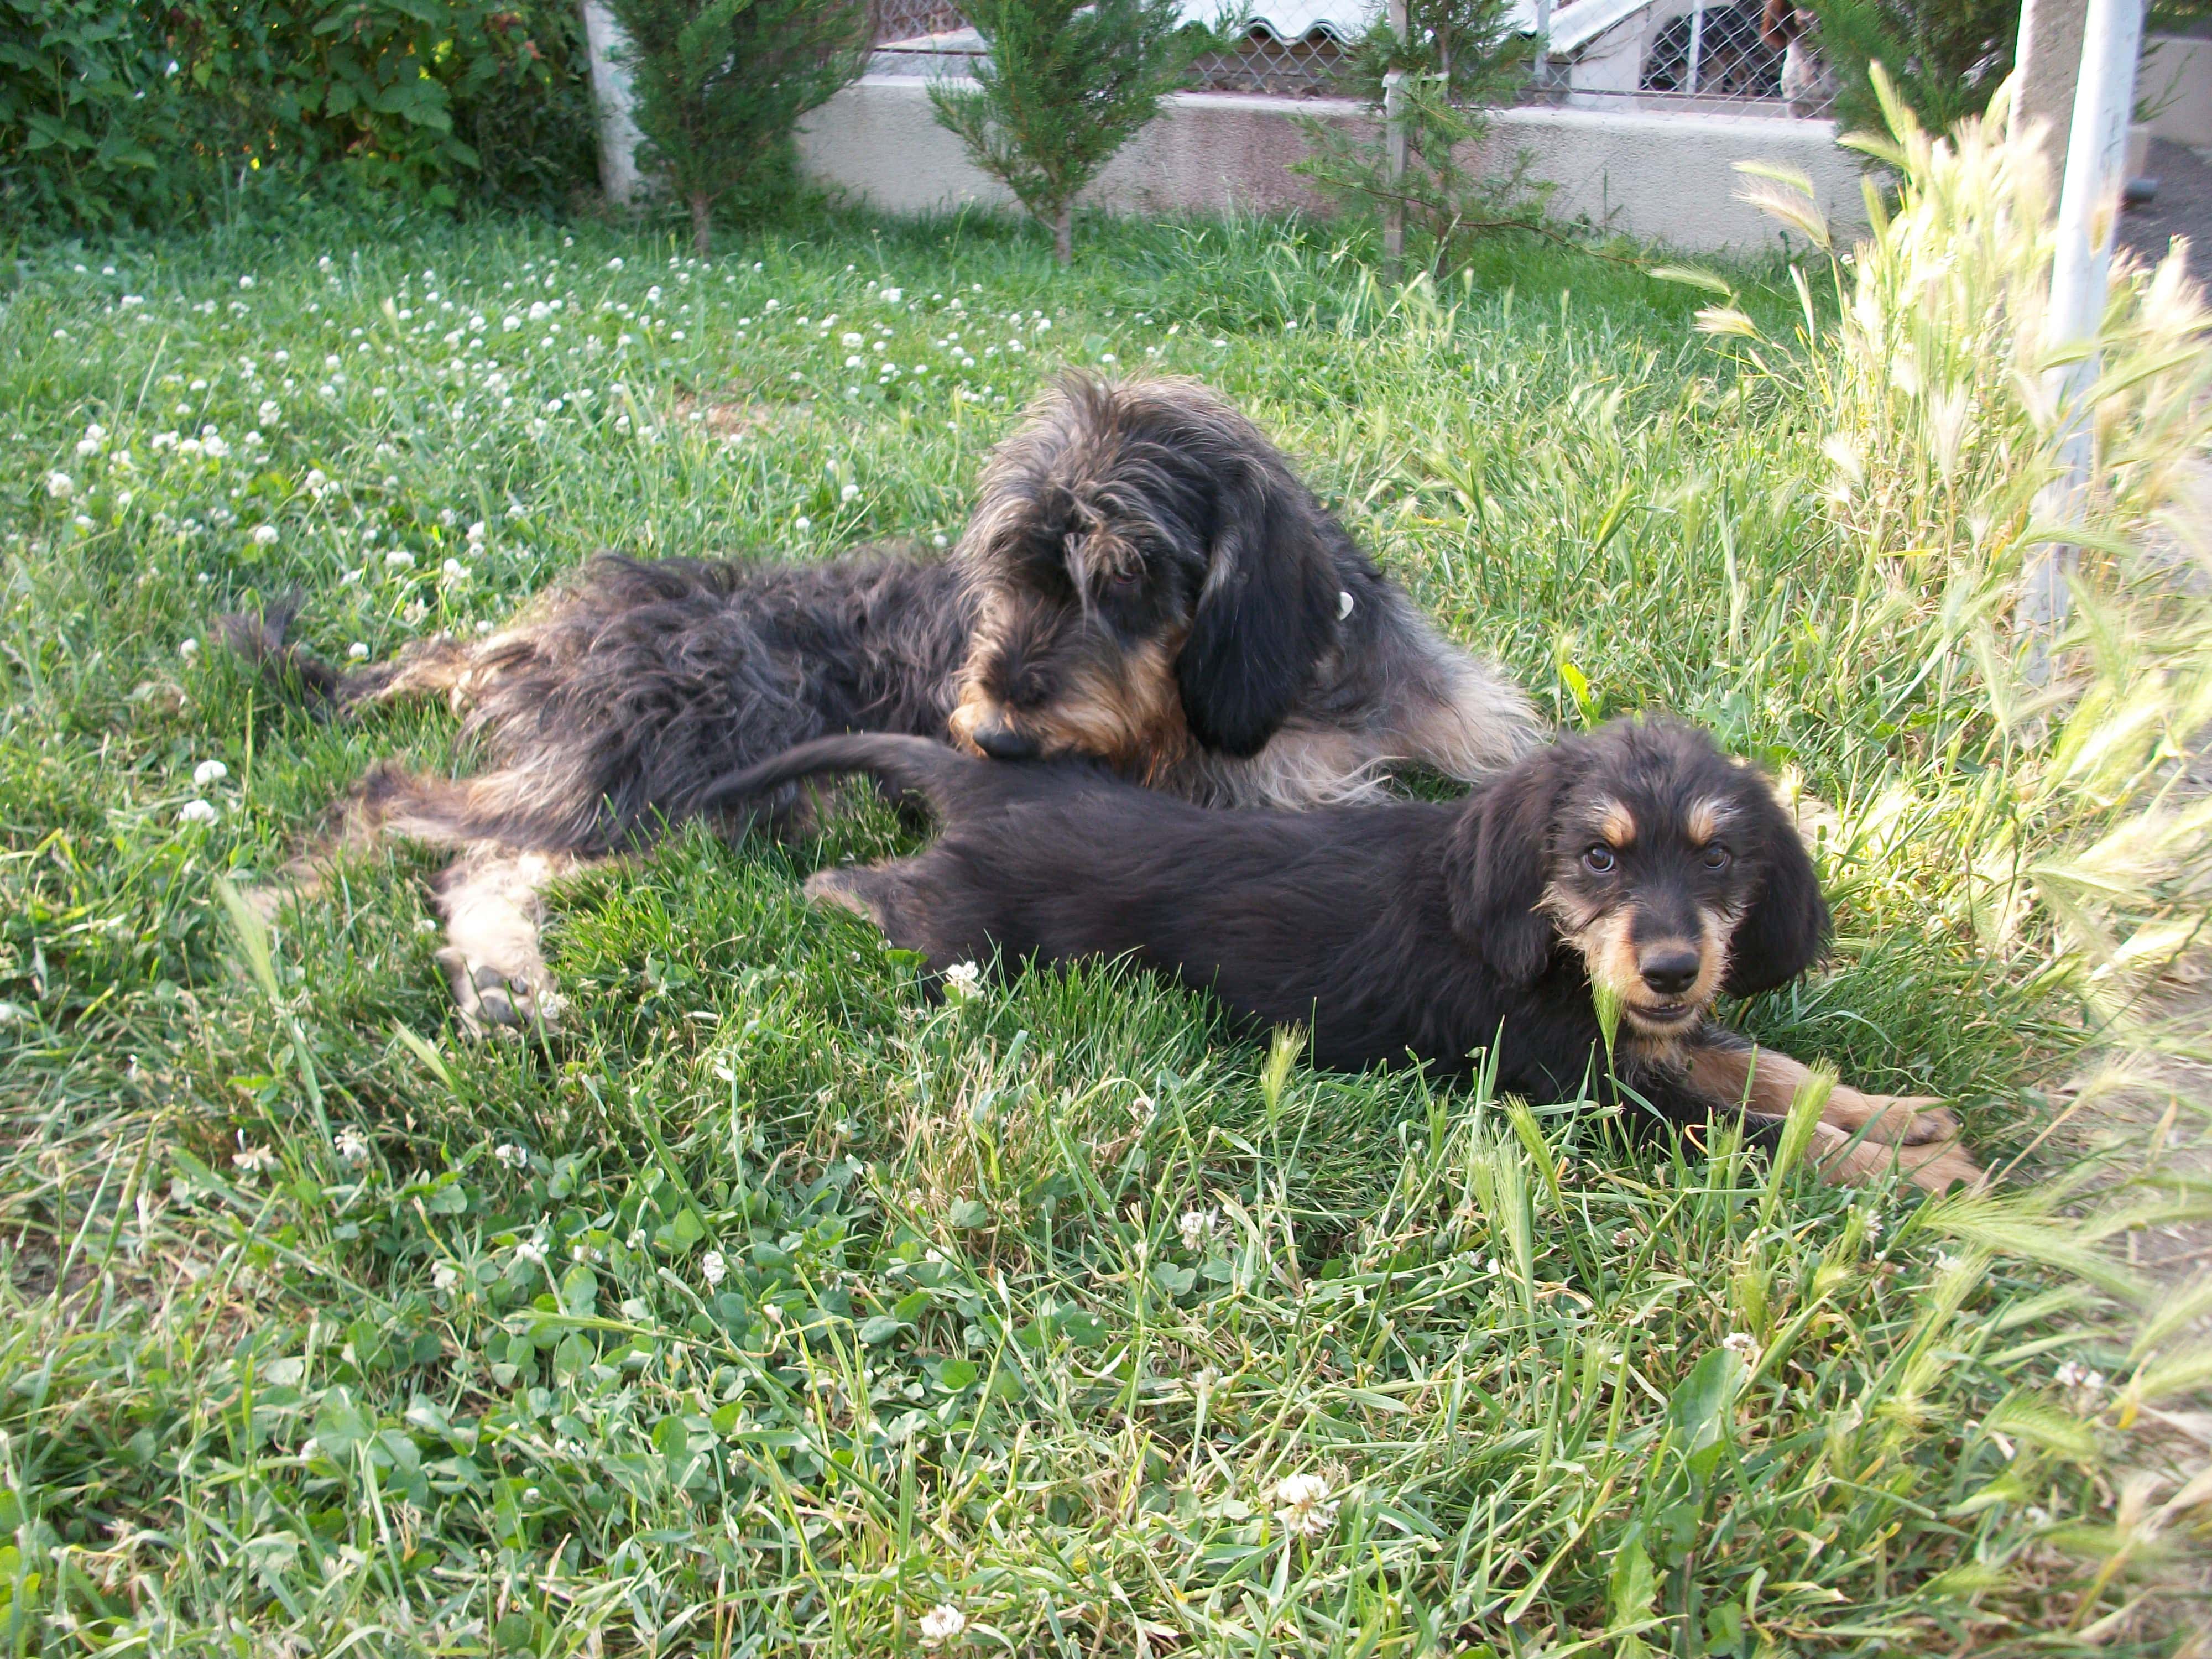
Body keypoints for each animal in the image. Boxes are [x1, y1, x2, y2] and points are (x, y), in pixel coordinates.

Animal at [224, 374, 1534, 1034]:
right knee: (406, 810)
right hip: (656, 768)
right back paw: (301, 922)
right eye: (1006, 570)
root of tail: (535, 627)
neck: (1311, 682)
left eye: (1120, 578)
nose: (991, 735)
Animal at [701, 719, 1984, 1192]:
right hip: (960, 929)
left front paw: (1903, 1115)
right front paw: (1919, 1177)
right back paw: (818, 888)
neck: (1546, 949)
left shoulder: (1644, 1045)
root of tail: (983, 782)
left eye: (1719, 860)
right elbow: (1754, 1132)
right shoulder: (1587, 1094)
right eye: (1598, 858)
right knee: (874, 894)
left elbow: (1764, 1068)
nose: (1672, 968)